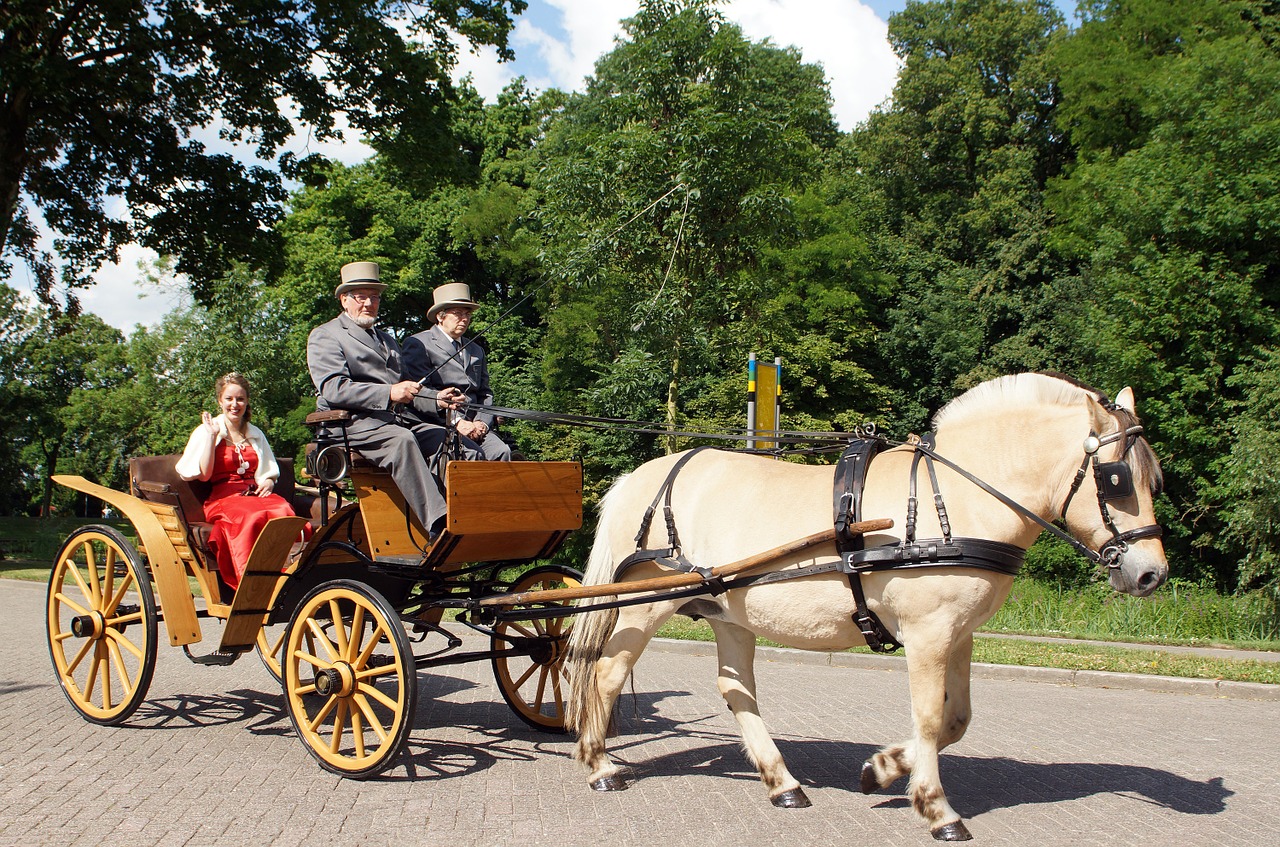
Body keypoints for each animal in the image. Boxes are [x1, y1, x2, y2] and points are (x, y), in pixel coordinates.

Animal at [565, 376, 1167, 844]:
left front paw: (882, 769)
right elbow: (930, 718)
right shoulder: (928, 632)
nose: (1151, 574)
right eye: (1117, 480)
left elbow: (956, 719)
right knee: (608, 672)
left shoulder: (959, 633)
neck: (955, 499)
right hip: (648, 606)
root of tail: (643, 476)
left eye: (1152, 479)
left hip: (728, 611)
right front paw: (936, 808)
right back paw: (599, 764)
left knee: (736, 689)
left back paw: (782, 782)